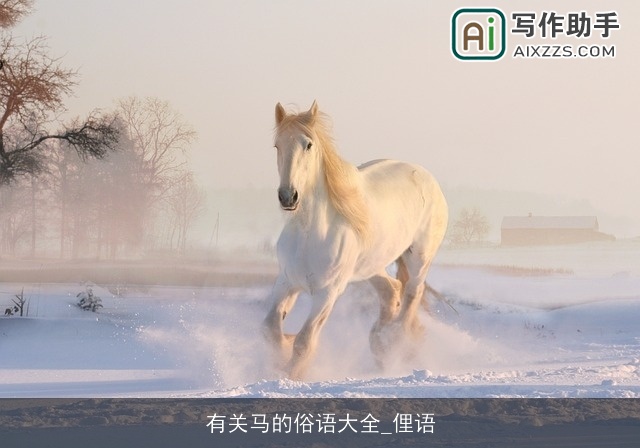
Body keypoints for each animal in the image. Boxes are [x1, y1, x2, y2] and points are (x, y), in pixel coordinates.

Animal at [262, 101, 448, 379]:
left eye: (308, 144)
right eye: (277, 145)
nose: (288, 196)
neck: (310, 234)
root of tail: (427, 178)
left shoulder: (327, 293)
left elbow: (304, 341)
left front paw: (291, 374)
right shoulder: (286, 282)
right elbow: (271, 329)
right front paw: (282, 353)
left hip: (419, 257)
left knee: (412, 293)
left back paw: (394, 342)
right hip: (370, 266)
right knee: (392, 290)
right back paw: (379, 343)